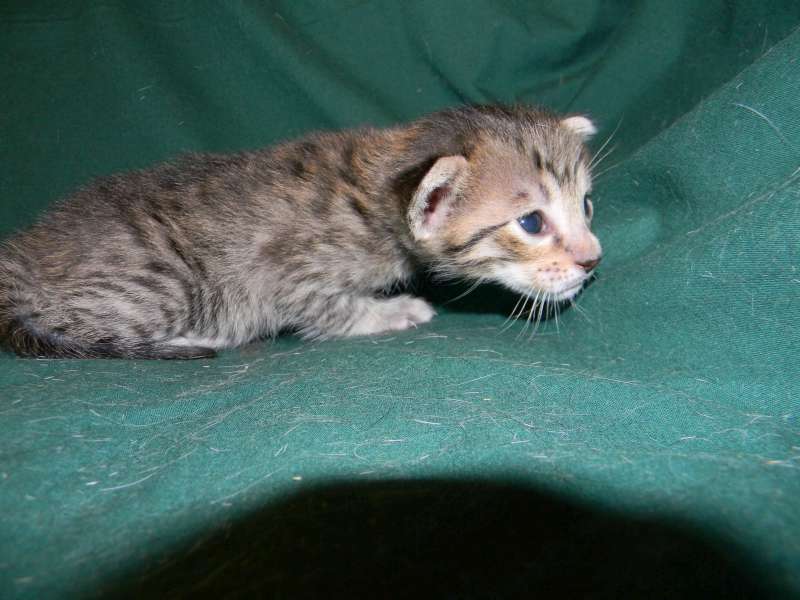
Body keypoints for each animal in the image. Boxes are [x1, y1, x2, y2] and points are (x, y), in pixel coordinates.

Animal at [0, 104, 602, 359]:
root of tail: (21, 251)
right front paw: (395, 311)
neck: (370, 191)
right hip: (163, 283)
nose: (592, 260)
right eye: (531, 222)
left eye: (587, 205)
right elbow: (332, 309)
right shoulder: (286, 273)